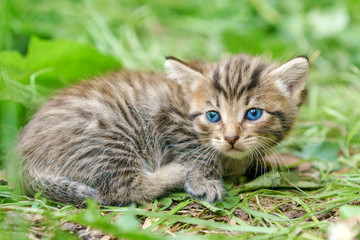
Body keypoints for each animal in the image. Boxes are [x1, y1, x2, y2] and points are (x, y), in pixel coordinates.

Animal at [17, 54, 310, 206]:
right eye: (212, 115)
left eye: (253, 114)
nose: (230, 138)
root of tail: (22, 161)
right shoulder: (169, 118)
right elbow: (199, 154)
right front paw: (201, 178)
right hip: (109, 135)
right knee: (122, 189)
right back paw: (176, 172)